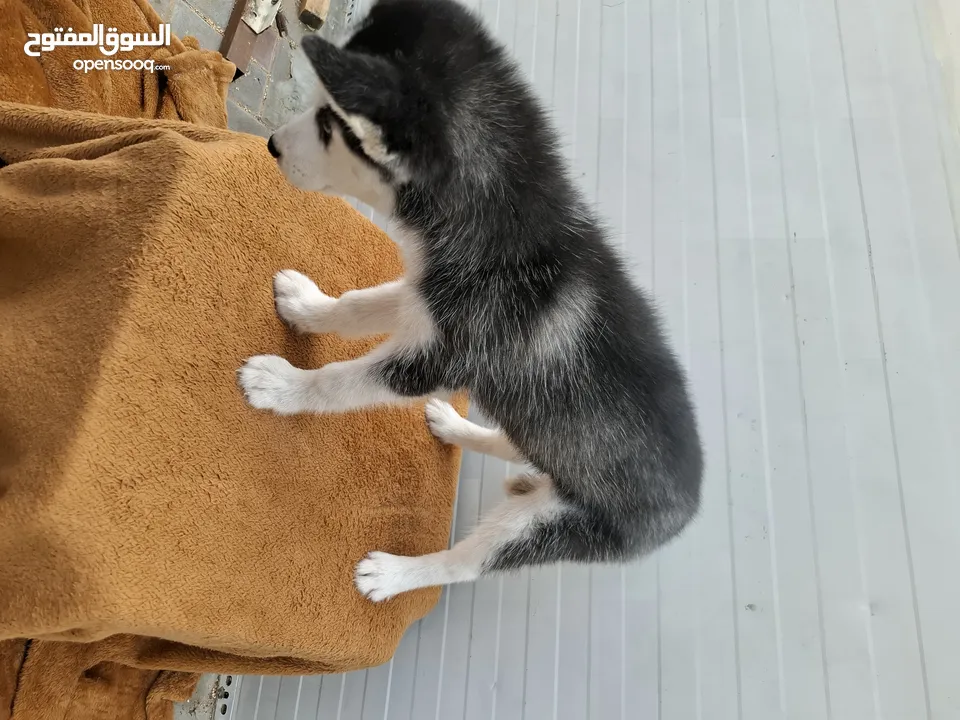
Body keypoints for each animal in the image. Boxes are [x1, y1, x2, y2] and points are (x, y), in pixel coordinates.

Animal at [240, 0, 700, 600]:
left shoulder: (436, 358)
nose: (271, 144)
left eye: (327, 124)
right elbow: (358, 305)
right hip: (544, 438)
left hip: (551, 527)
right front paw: (306, 306)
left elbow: (339, 381)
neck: (504, 225)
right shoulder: (425, 298)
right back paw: (456, 428)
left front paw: (282, 385)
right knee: (515, 444)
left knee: (466, 563)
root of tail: (689, 508)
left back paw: (396, 574)